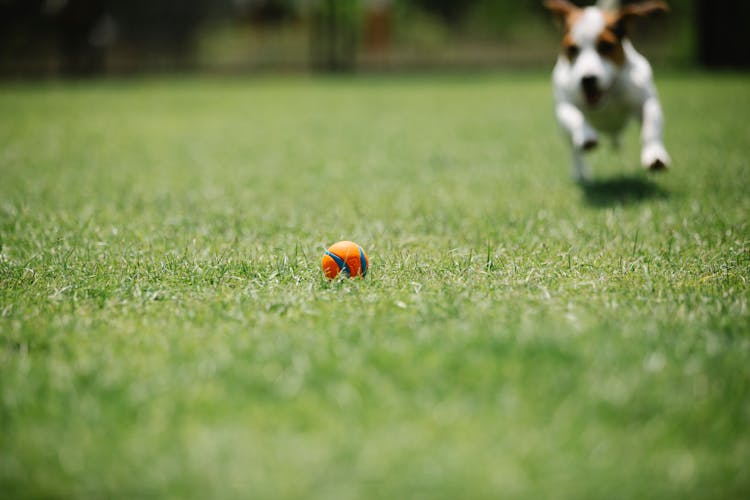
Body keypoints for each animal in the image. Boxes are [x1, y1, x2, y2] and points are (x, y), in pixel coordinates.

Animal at [544, 0, 672, 180]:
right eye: (572, 49)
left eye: (605, 46)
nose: (588, 79)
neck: (607, 95)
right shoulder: (564, 104)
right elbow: (575, 116)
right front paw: (586, 136)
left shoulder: (646, 101)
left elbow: (651, 128)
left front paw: (655, 155)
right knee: (574, 151)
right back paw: (580, 172)